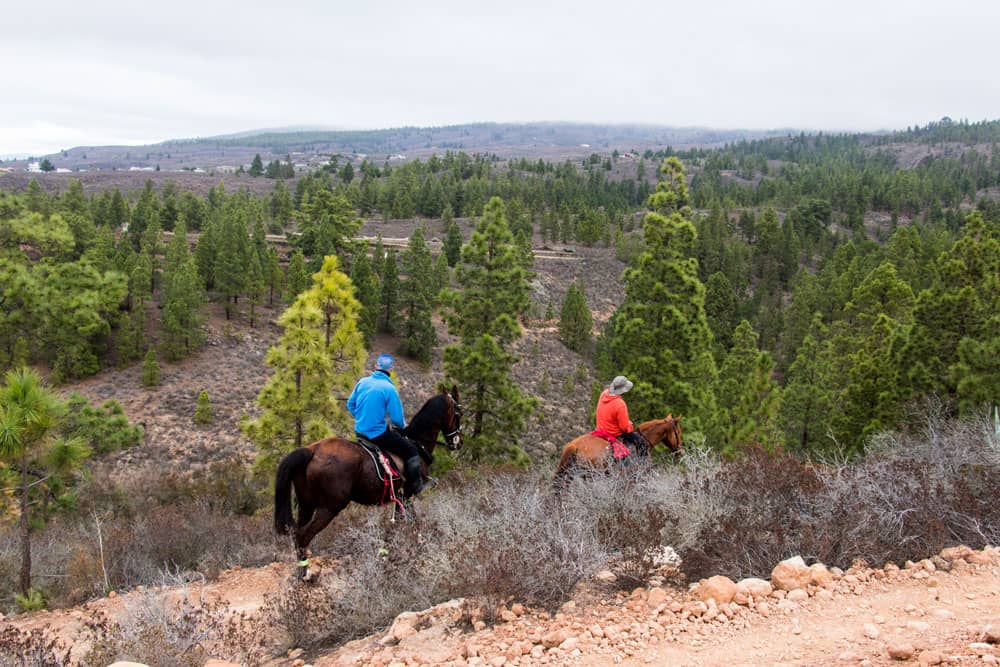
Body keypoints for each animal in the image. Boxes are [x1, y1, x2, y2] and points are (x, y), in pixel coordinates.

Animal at [274, 386, 460, 580]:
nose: (458, 442)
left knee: (297, 534)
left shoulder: (400, 498)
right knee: (304, 536)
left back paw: (300, 572)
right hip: (329, 507)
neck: (417, 443)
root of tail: (312, 450)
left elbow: (399, 523)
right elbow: (413, 522)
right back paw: (305, 574)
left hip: (306, 504)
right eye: (459, 413)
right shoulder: (408, 495)